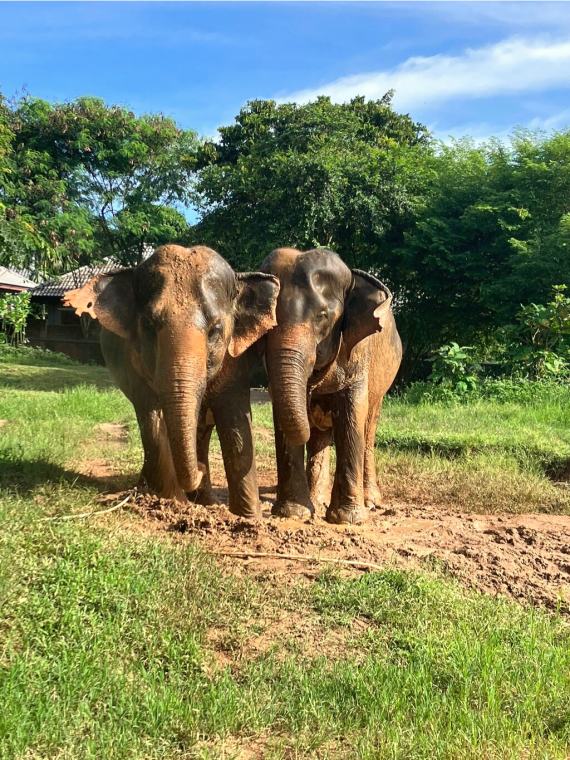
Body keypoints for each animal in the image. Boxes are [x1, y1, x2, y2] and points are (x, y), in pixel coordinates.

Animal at [63, 244, 280, 518]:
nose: (201, 470)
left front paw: (249, 518)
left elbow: (234, 420)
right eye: (148, 325)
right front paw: (172, 502)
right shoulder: (134, 362)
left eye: (215, 329)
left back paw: (204, 499)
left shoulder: (235, 360)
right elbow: (152, 416)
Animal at [260, 247, 402, 525]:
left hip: (382, 386)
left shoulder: (358, 354)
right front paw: (293, 514)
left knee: (368, 429)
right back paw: (316, 501)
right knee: (319, 438)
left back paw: (370, 501)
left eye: (322, 317)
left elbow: (351, 417)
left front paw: (347, 519)